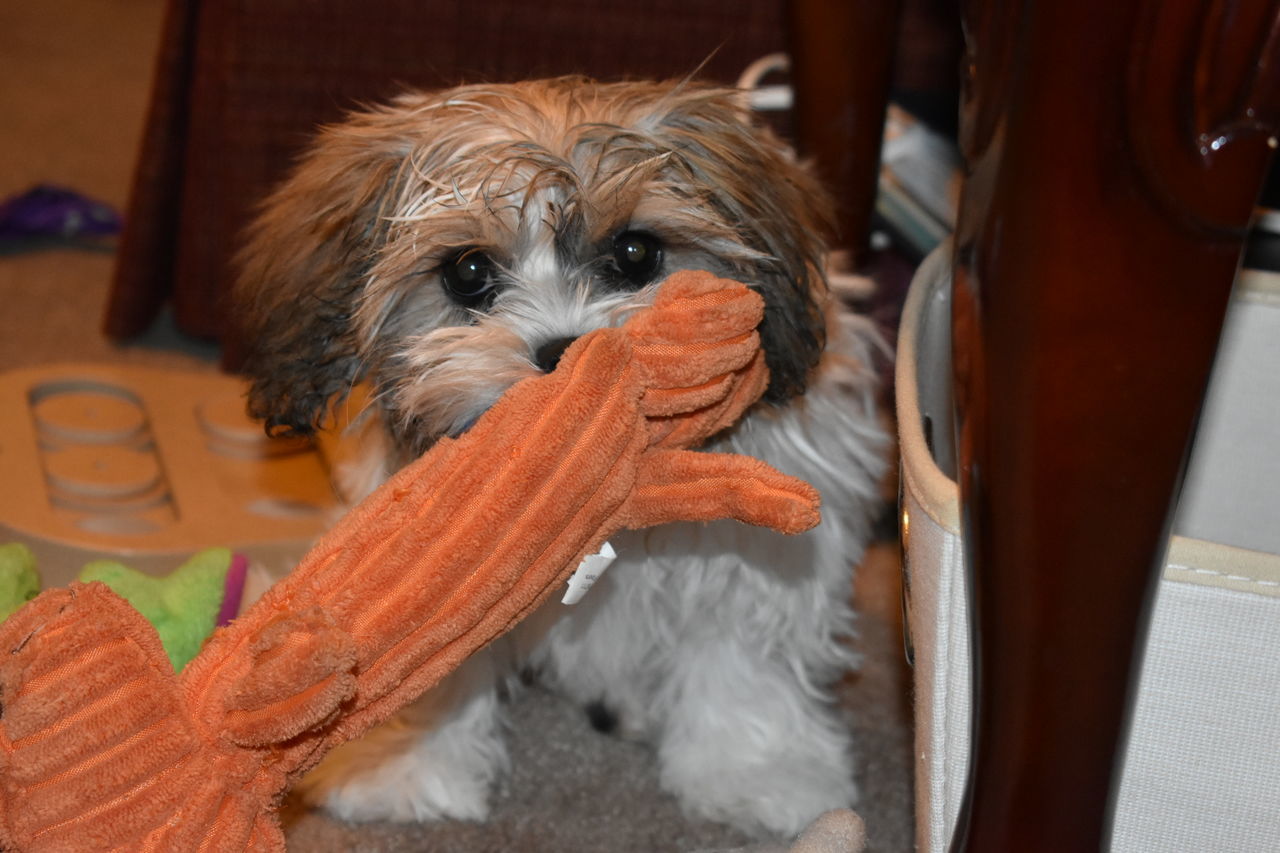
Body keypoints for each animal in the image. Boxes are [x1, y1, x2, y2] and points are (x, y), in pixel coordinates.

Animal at [232, 74, 890, 835]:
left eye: (635, 254)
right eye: (469, 271)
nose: (566, 353)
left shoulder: (766, 533)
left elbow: (745, 649)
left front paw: (757, 771)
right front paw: (407, 763)